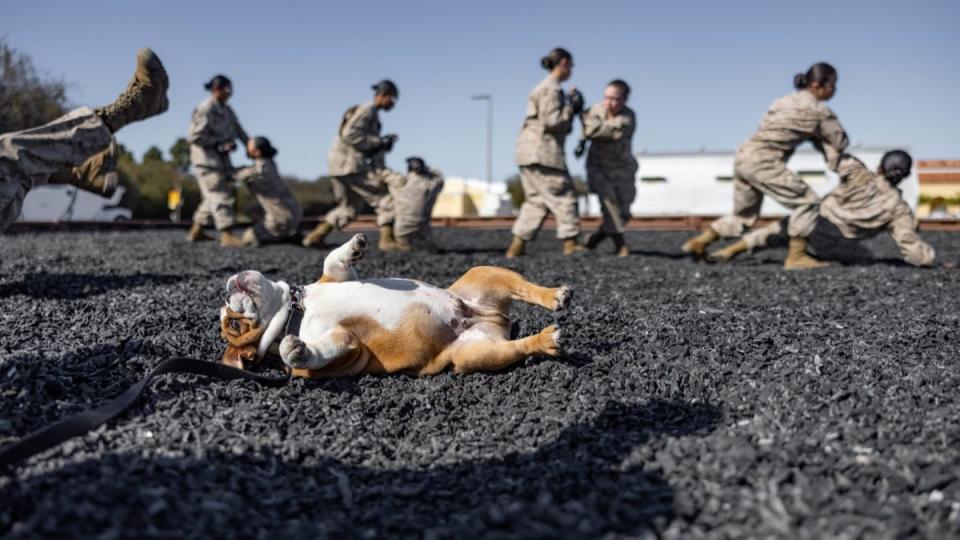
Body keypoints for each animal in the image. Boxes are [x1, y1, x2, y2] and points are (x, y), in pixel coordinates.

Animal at [219, 234, 568, 378]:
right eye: (234, 324)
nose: (227, 290)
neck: (295, 313)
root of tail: (494, 319)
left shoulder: (336, 277)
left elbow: (332, 259)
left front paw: (355, 245)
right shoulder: (347, 348)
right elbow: (320, 350)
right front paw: (295, 349)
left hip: (483, 274)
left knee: (525, 288)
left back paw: (555, 295)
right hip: (475, 354)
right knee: (517, 347)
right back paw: (546, 339)